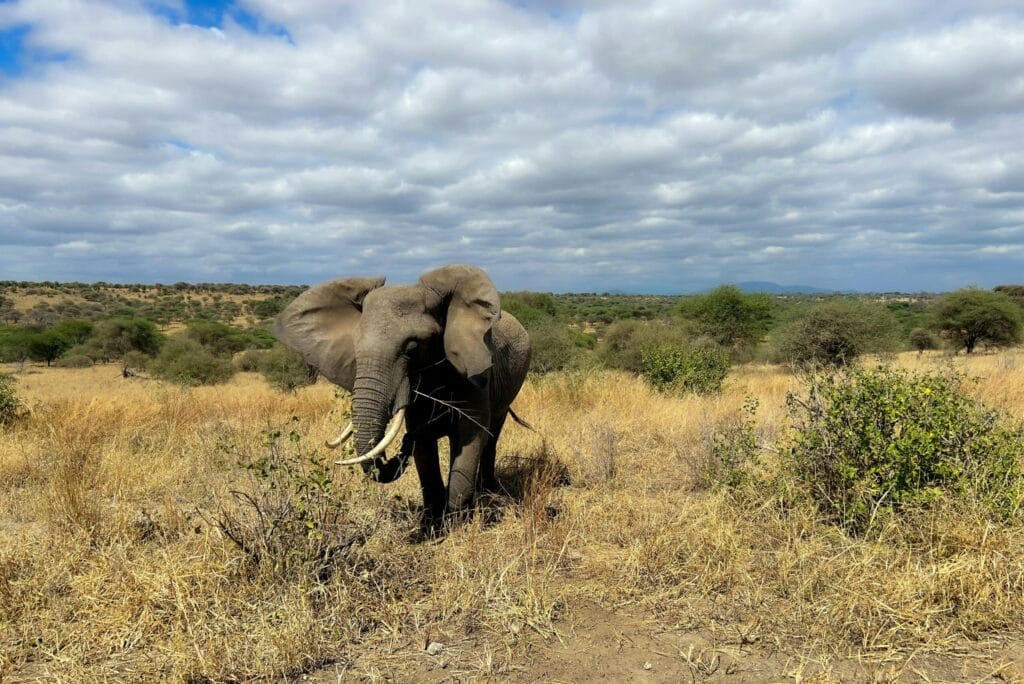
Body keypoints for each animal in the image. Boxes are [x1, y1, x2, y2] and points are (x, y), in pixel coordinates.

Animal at [275, 264, 531, 525]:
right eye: (355, 347)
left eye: (412, 347)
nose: (404, 443)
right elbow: (425, 451)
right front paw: (433, 525)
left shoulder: (476, 374)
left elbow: (471, 435)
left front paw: (457, 523)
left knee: (491, 436)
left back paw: (488, 492)